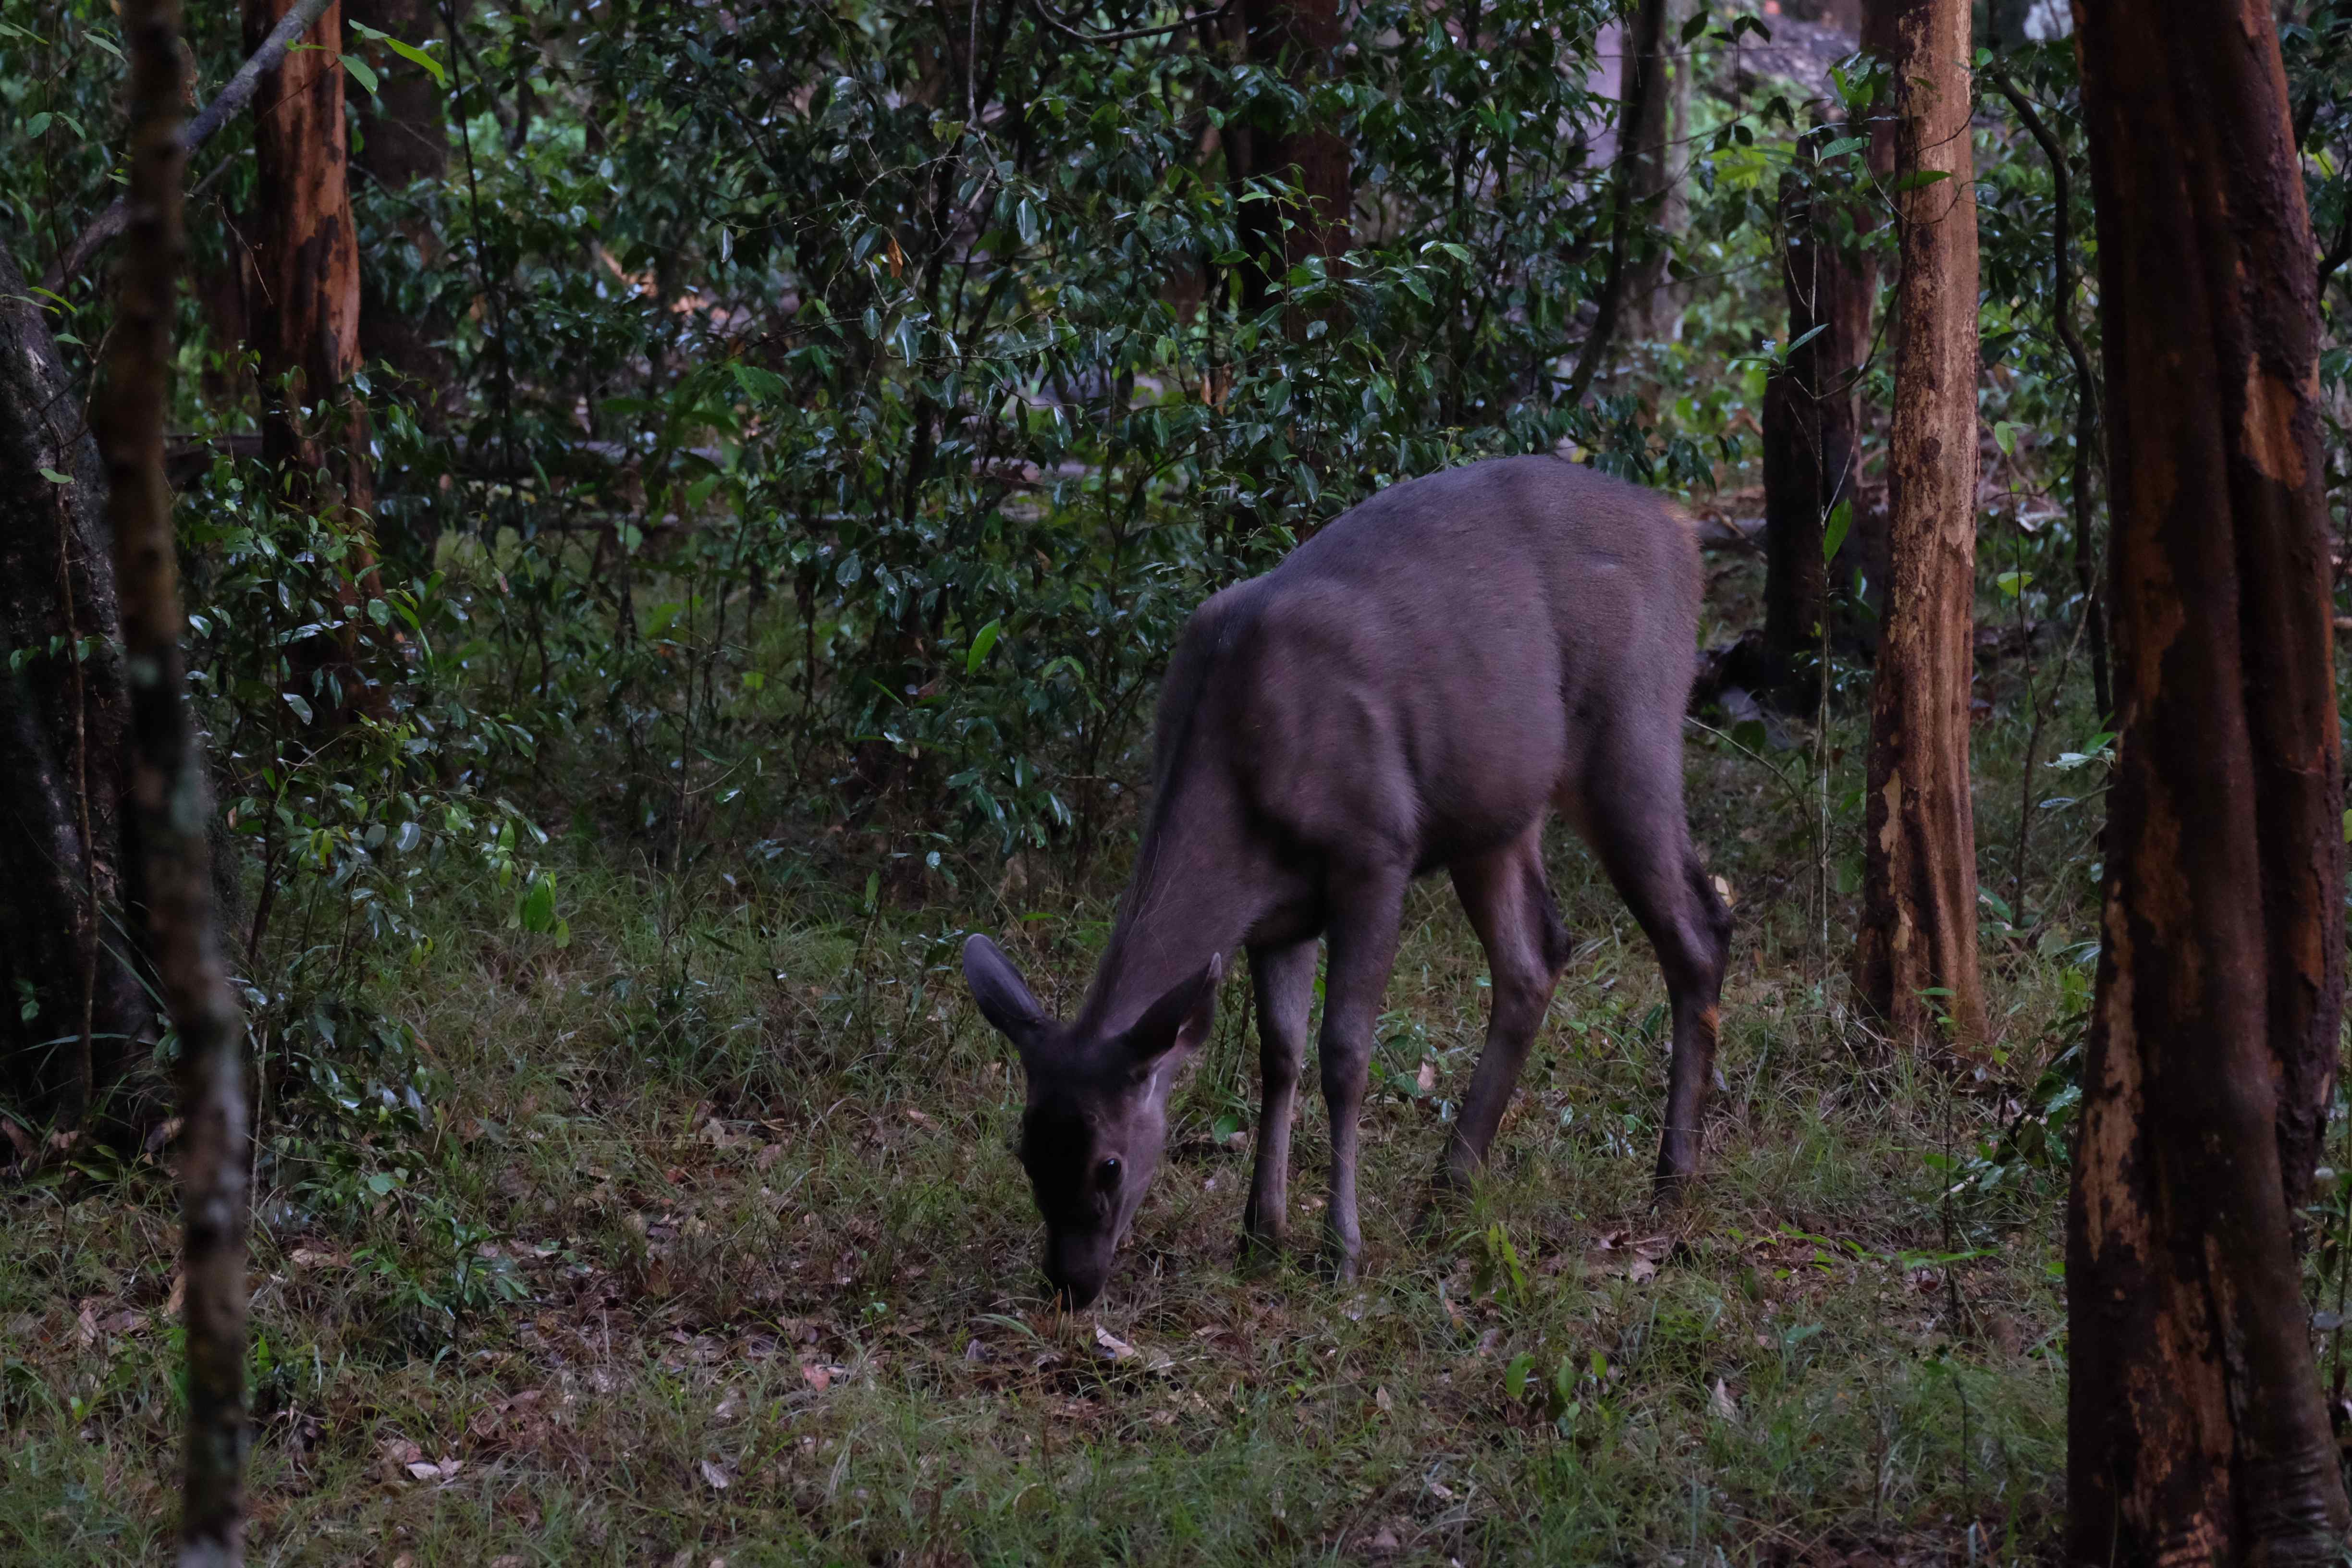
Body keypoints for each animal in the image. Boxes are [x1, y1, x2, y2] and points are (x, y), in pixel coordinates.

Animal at [962, 455, 1732, 1308]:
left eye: (1109, 1163)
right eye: (1027, 1151)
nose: (1071, 1283)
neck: (1238, 769)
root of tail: (1679, 529)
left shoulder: (1375, 850)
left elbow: (1344, 1055)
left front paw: (1341, 1251)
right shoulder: (1277, 912)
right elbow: (1279, 1054)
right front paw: (1260, 1235)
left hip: (1632, 727)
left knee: (1697, 929)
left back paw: (1670, 1181)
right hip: (1494, 810)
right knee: (1535, 957)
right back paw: (1448, 1191)